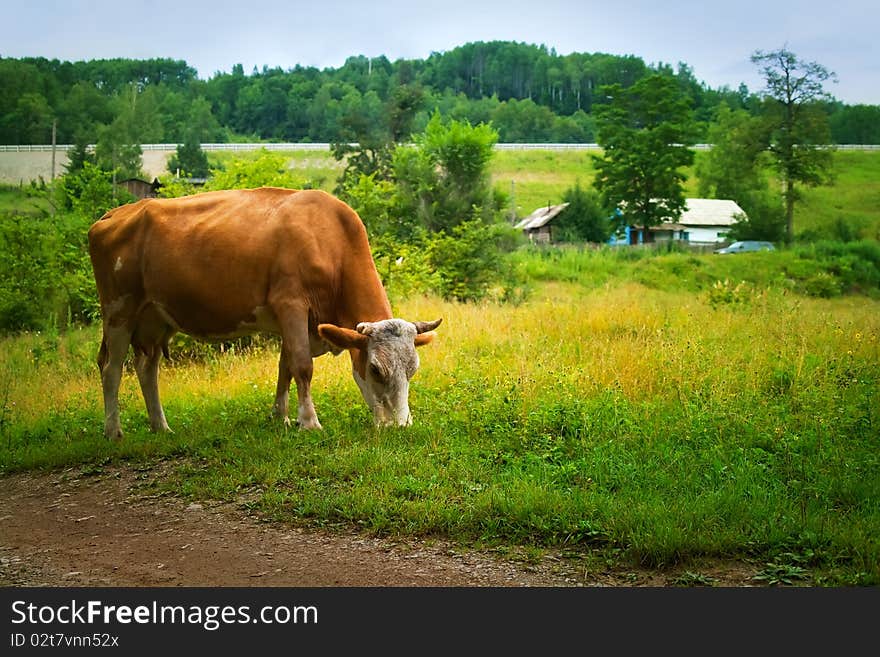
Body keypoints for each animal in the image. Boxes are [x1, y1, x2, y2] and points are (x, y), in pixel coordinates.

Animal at [87, 187, 440, 438]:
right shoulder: (291, 304)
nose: (400, 425)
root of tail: (112, 214)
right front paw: (309, 422)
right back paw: (113, 431)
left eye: (412, 370)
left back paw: (161, 426)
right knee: (111, 367)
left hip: (155, 317)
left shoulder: (296, 322)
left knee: (147, 367)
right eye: (376, 370)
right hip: (119, 310)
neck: (328, 239)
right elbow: (302, 366)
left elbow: (285, 367)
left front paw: (281, 417)